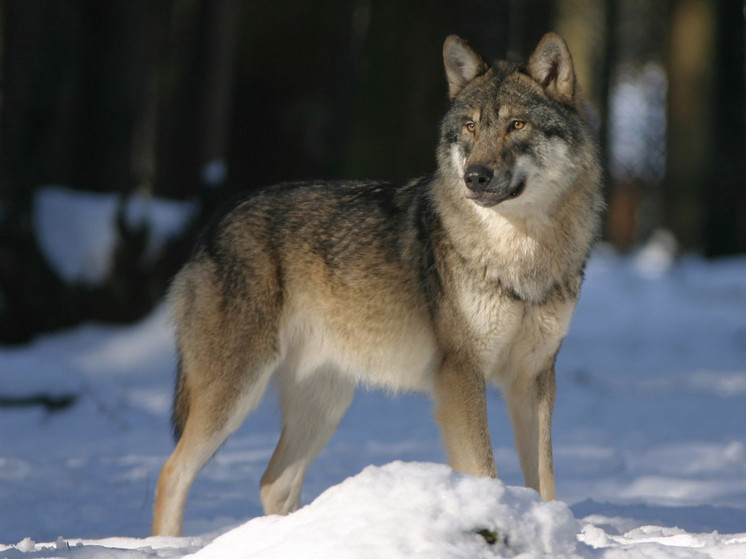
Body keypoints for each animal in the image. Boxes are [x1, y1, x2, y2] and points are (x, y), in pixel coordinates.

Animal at [153, 31, 604, 540]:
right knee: (172, 472)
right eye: (470, 127)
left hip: (325, 403)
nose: (474, 176)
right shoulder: (461, 375)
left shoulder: (534, 377)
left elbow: (544, 480)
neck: (521, 255)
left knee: (273, 482)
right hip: (235, 392)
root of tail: (215, 221)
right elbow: (485, 470)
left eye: (517, 124)